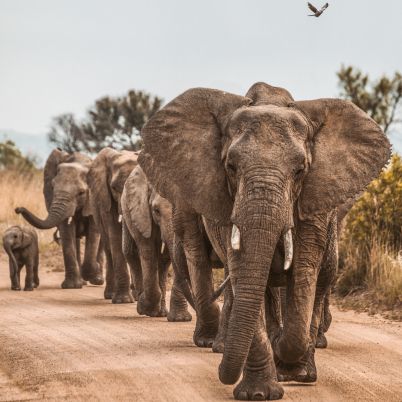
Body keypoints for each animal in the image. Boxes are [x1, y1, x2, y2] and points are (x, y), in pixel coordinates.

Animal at [15, 149, 103, 288]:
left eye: (81, 193)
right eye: (52, 187)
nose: (18, 209)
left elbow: (94, 233)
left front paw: (90, 273)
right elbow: (66, 231)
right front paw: (72, 286)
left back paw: (97, 280)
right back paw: (83, 281)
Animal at [87, 147, 139, 302]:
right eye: (115, 188)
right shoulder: (105, 198)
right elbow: (115, 235)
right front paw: (123, 300)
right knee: (108, 246)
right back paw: (111, 295)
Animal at [138, 83, 390, 400]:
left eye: (300, 170)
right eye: (231, 167)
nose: (221, 371)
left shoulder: (314, 201)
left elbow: (304, 274)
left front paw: (292, 365)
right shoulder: (226, 204)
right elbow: (244, 274)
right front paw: (259, 392)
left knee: (318, 279)